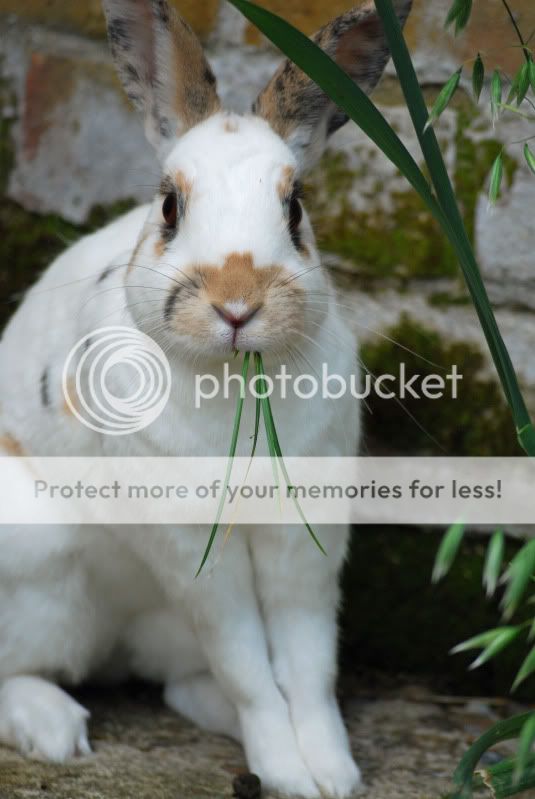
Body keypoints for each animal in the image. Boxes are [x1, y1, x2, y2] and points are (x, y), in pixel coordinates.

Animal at [0, 0, 412, 792]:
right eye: (169, 206)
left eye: (295, 208)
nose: (237, 304)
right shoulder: (194, 546)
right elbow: (249, 664)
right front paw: (288, 773)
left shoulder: (303, 540)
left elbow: (306, 667)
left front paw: (332, 773)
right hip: (36, 572)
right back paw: (55, 728)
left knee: (182, 684)